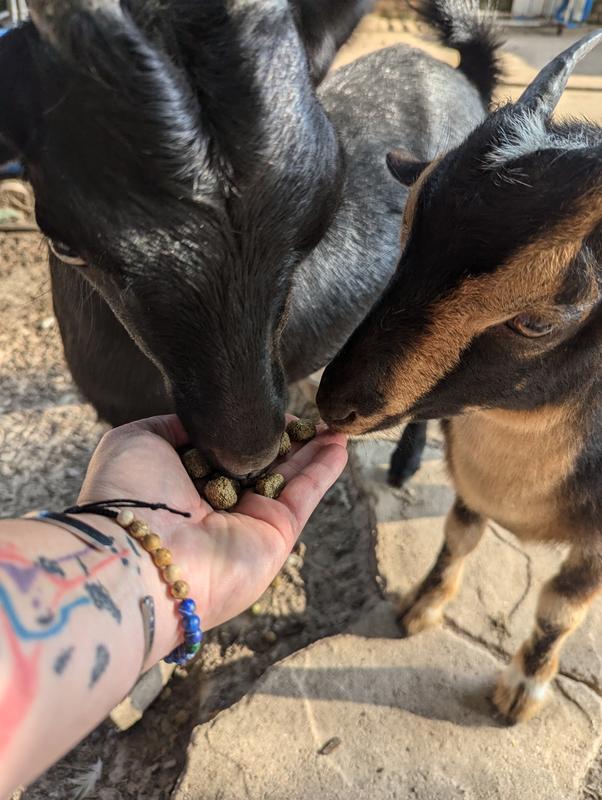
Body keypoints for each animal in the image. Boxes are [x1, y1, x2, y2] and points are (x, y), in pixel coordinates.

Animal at [318, 17, 602, 723]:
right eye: (405, 232)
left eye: (539, 320)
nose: (336, 402)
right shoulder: (471, 489)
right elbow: (458, 535)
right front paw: (419, 607)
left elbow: (561, 607)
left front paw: (521, 691)